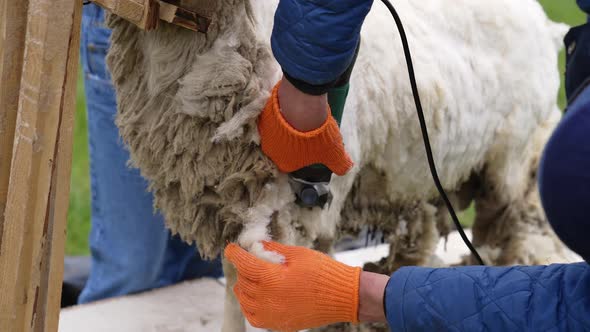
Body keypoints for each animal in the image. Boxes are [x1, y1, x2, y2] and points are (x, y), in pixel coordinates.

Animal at [105, 0, 568, 330]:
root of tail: (545, 22)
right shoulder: (229, 205)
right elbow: (236, 292)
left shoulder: (287, 214)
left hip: (512, 160)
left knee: (525, 232)